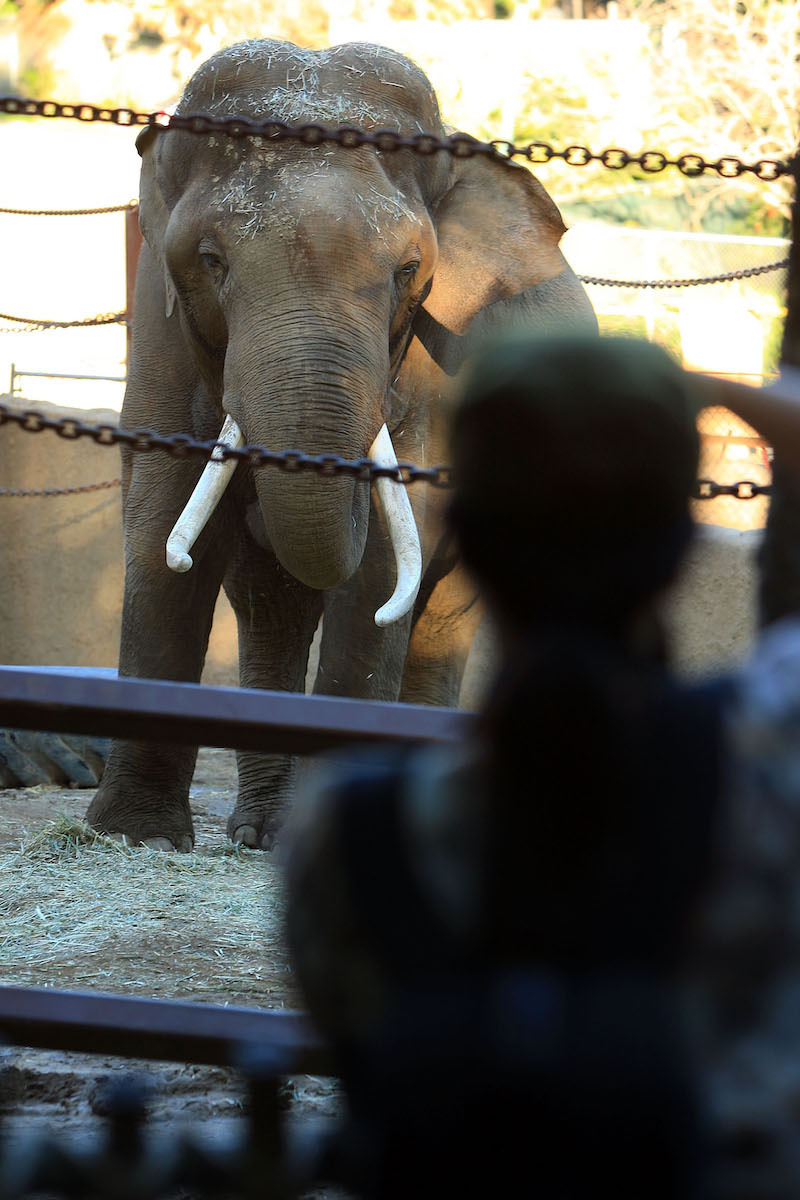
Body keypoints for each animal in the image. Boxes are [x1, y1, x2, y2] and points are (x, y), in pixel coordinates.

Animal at [86, 39, 594, 854]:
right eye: (211, 260)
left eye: (408, 271)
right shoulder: (158, 332)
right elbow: (162, 519)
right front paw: (140, 839)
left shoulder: (432, 372)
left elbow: (385, 561)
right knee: (271, 606)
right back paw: (259, 832)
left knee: (438, 616)